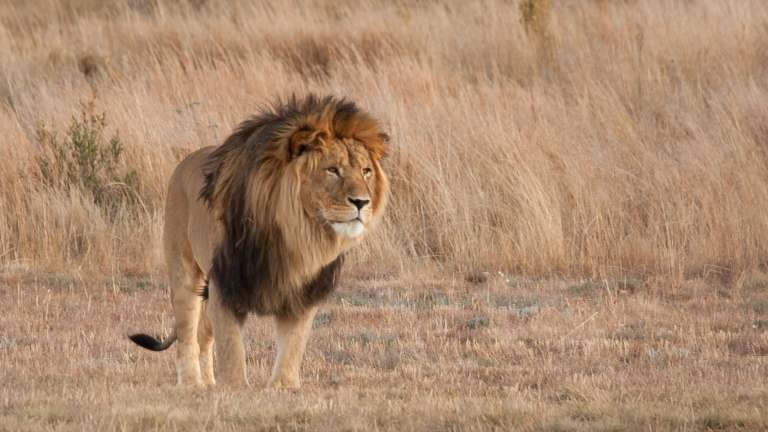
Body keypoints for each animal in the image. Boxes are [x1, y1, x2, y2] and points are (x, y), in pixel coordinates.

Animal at [129, 95, 389, 388]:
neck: (299, 235)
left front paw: (283, 387)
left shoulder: (302, 292)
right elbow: (231, 348)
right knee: (187, 334)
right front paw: (235, 389)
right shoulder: (226, 283)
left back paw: (209, 384)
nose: (362, 202)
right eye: (332, 170)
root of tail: (184, 162)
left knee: (203, 335)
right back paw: (192, 384)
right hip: (184, 272)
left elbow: (293, 345)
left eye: (366, 171)